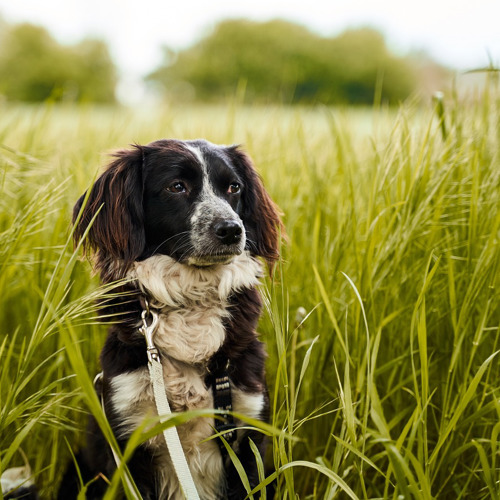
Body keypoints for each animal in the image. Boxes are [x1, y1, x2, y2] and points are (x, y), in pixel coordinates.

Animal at [58, 139, 284, 498]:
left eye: (234, 187)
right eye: (176, 187)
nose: (232, 230)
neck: (192, 301)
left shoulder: (247, 433)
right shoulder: (128, 438)